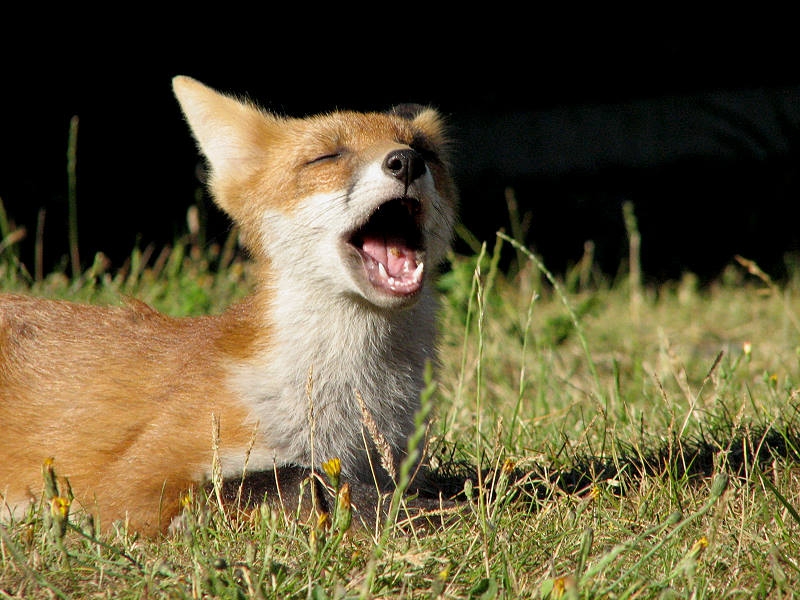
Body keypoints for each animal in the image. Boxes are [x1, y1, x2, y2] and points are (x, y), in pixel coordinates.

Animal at [0, 76, 458, 535]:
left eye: (425, 151)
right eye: (326, 156)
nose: (406, 162)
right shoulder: (133, 491)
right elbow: (299, 480)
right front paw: (426, 512)